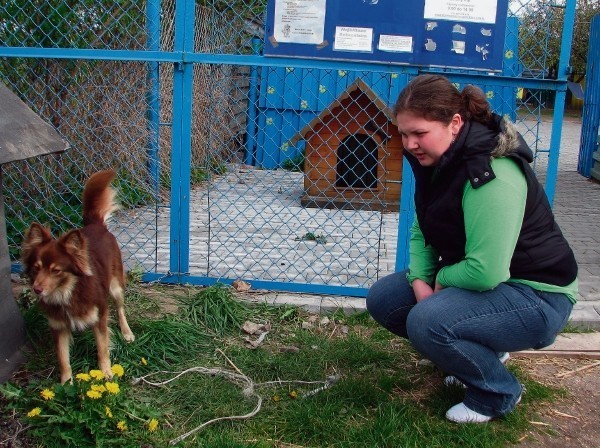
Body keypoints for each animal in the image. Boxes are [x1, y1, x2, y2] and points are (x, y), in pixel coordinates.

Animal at [21, 170, 135, 384]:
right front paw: (66, 385)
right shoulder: (58, 327)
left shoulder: (99, 318)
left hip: (115, 287)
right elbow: (63, 359)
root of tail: (95, 224)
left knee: (120, 309)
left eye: (56, 270)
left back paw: (127, 333)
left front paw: (106, 374)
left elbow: (102, 348)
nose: (37, 289)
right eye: (35, 268)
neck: (67, 292)